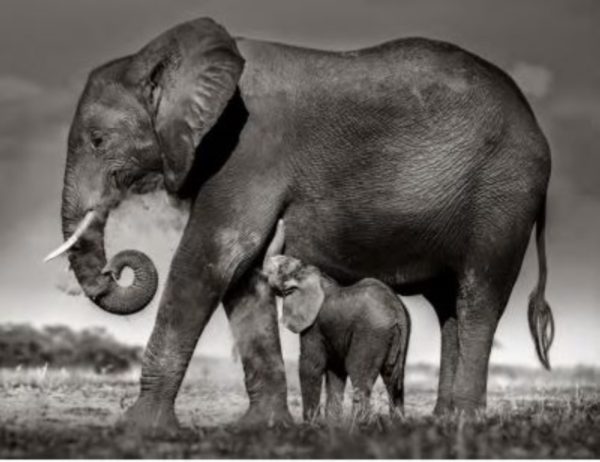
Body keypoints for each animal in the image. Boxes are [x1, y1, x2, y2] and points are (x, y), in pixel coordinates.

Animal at [264, 222, 412, 420]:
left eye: (282, 269)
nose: (281, 222)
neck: (317, 277)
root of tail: (396, 311)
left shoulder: (314, 325)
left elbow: (311, 366)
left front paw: (312, 423)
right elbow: (335, 371)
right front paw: (331, 423)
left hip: (371, 333)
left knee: (359, 375)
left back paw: (360, 424)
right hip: (399, 336)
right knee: (394, 380)